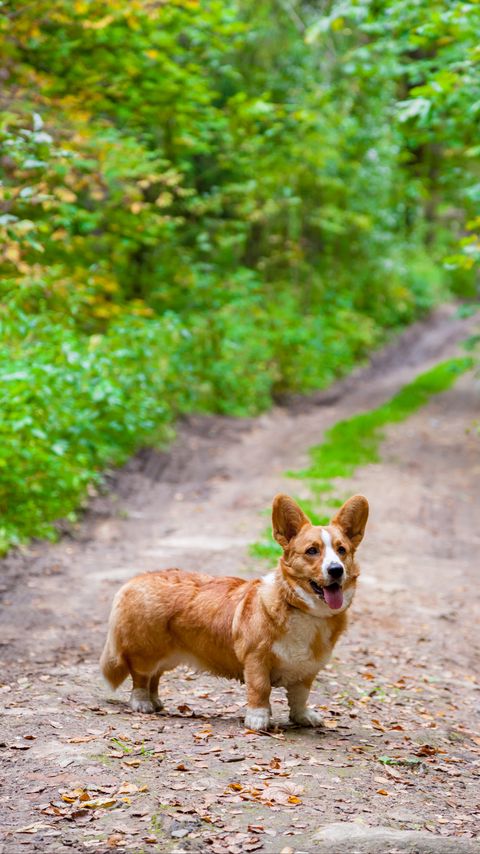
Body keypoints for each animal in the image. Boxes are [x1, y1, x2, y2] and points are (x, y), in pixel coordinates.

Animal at [99, 494, 366, 728]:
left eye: (341, 550)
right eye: (312, 550)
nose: (336, 570)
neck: (304, 610)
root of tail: (134, 581)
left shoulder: (307, 670)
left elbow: (300, 697)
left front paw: (302, 717)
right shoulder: (256, 659)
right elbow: (260, 689)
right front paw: (258, 719)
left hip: (167, 655)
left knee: (155, 677)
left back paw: (155, 702)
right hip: (147, 651)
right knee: (141, 677)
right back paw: (142, 703)